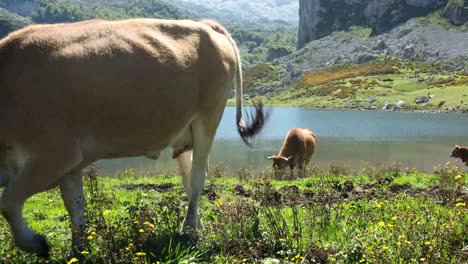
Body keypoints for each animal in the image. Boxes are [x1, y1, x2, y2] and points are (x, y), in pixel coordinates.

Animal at [0, 18, 266, 258]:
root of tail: (205, 24)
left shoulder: (55, 154)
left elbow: (8, 202)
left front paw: (35, 244)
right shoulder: (69, 164)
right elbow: (75, 205)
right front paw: (79, 250)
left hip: (208, 116)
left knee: (199, 176)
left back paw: (189, 229)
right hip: (185, 128)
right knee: (189, 176)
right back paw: (197, 223)